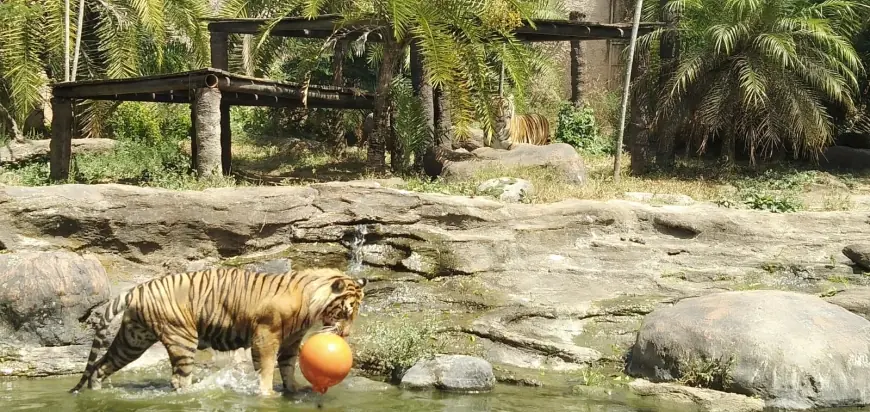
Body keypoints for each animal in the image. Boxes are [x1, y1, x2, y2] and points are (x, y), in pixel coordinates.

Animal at [68, 267, 368, 397]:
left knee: (100, 366)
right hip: (181, 338)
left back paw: (97, 392)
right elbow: (267, 368)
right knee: (179, 380)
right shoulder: (266, 336)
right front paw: (267, 394)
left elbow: (288, 366)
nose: (345, 336)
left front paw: (293, 390)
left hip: (133, 339)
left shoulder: (291, 341)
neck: (309, 304)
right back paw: (193, 394)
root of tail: (138, 288)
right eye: (345, 312)